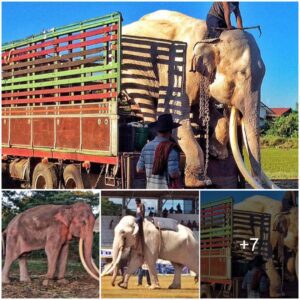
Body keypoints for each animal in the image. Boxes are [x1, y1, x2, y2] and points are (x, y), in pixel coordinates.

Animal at [120, 10, 274, 189]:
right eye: (242, 73)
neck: (212, 38)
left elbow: (208, 113)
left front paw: (218, 154)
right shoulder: (179, 68)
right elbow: (175, 113)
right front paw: (199, 182)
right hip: (131, 72)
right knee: (145, 102)